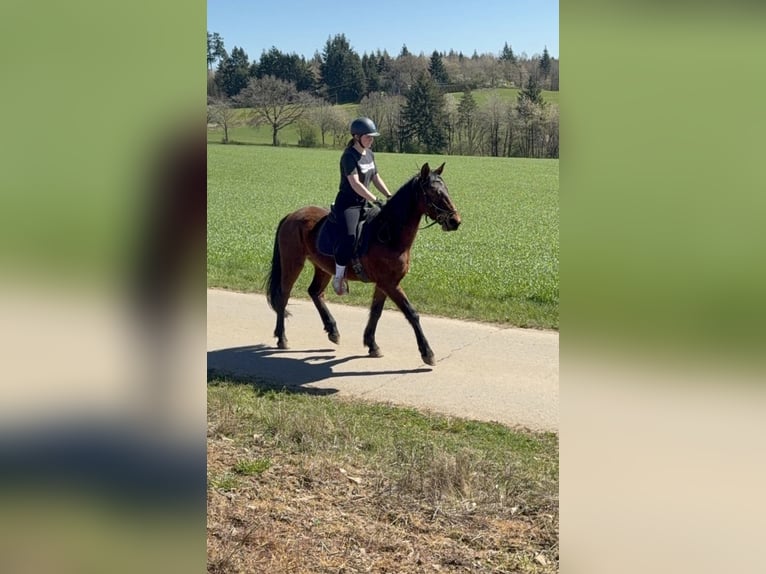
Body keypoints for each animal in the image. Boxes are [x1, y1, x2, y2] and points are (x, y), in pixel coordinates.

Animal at [265, 162, 461, 366]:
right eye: (434, 193)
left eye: (446, 190)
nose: (455, 221)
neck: (389, 233)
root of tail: (291, 215)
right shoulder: (389, 284)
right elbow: (411, 313)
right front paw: (427, 352)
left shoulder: (384, 284)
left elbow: (376, 311)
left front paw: (372, 344)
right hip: (292, 263)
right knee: (284, 296)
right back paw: (282, 337)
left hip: (323, 267)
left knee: (315, 292)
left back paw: (332, 330)